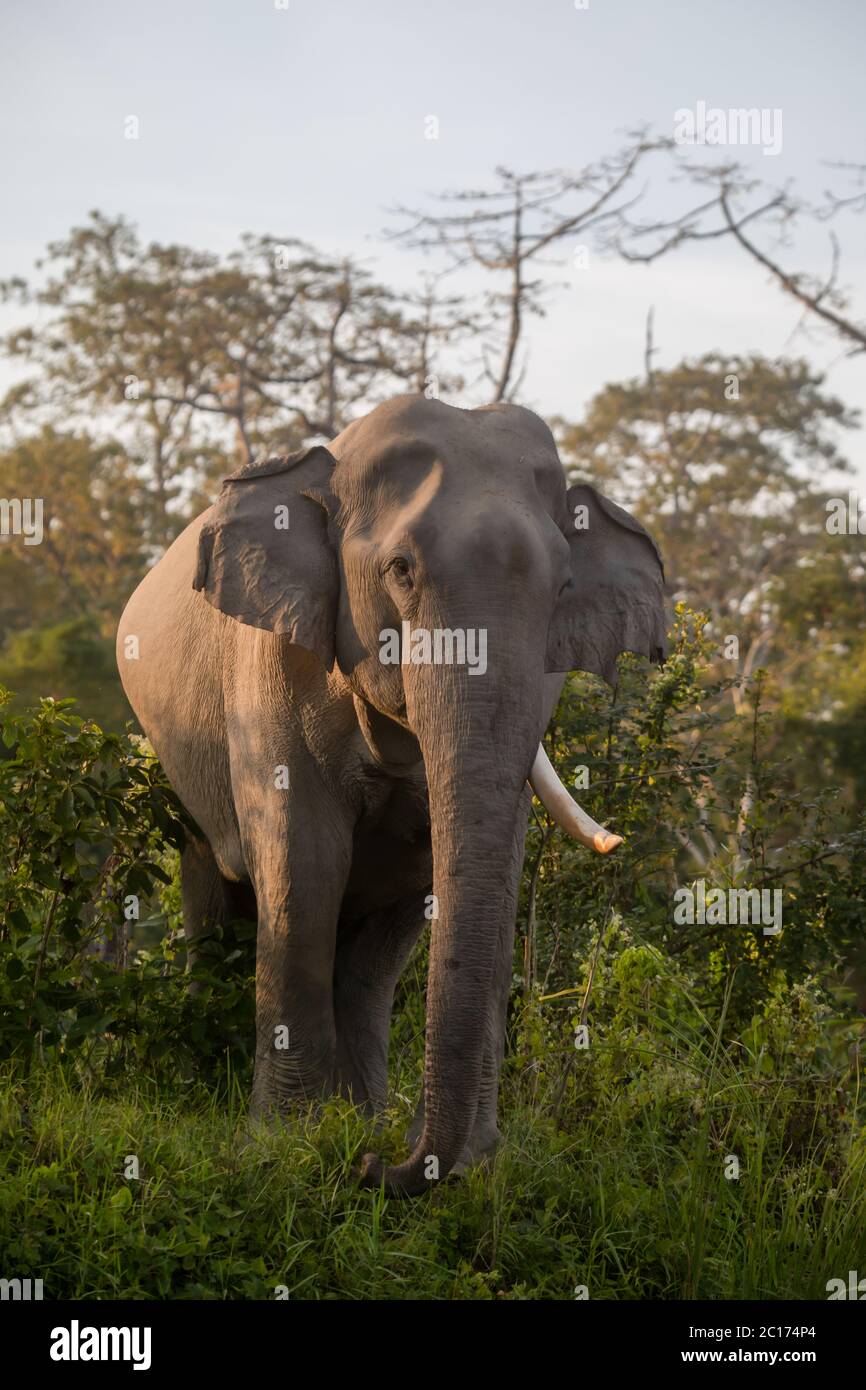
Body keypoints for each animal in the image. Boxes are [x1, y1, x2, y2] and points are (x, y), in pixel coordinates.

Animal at [116, 394, 664, 1195]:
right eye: (401, 571)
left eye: (561, 590)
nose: (379, 1167)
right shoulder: (273, 661)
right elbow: (304, 864)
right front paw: (285, 1145)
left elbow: (449, 871)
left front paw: (469, 1164)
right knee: (212, 897)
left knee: (374, 948)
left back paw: (361, 1115)